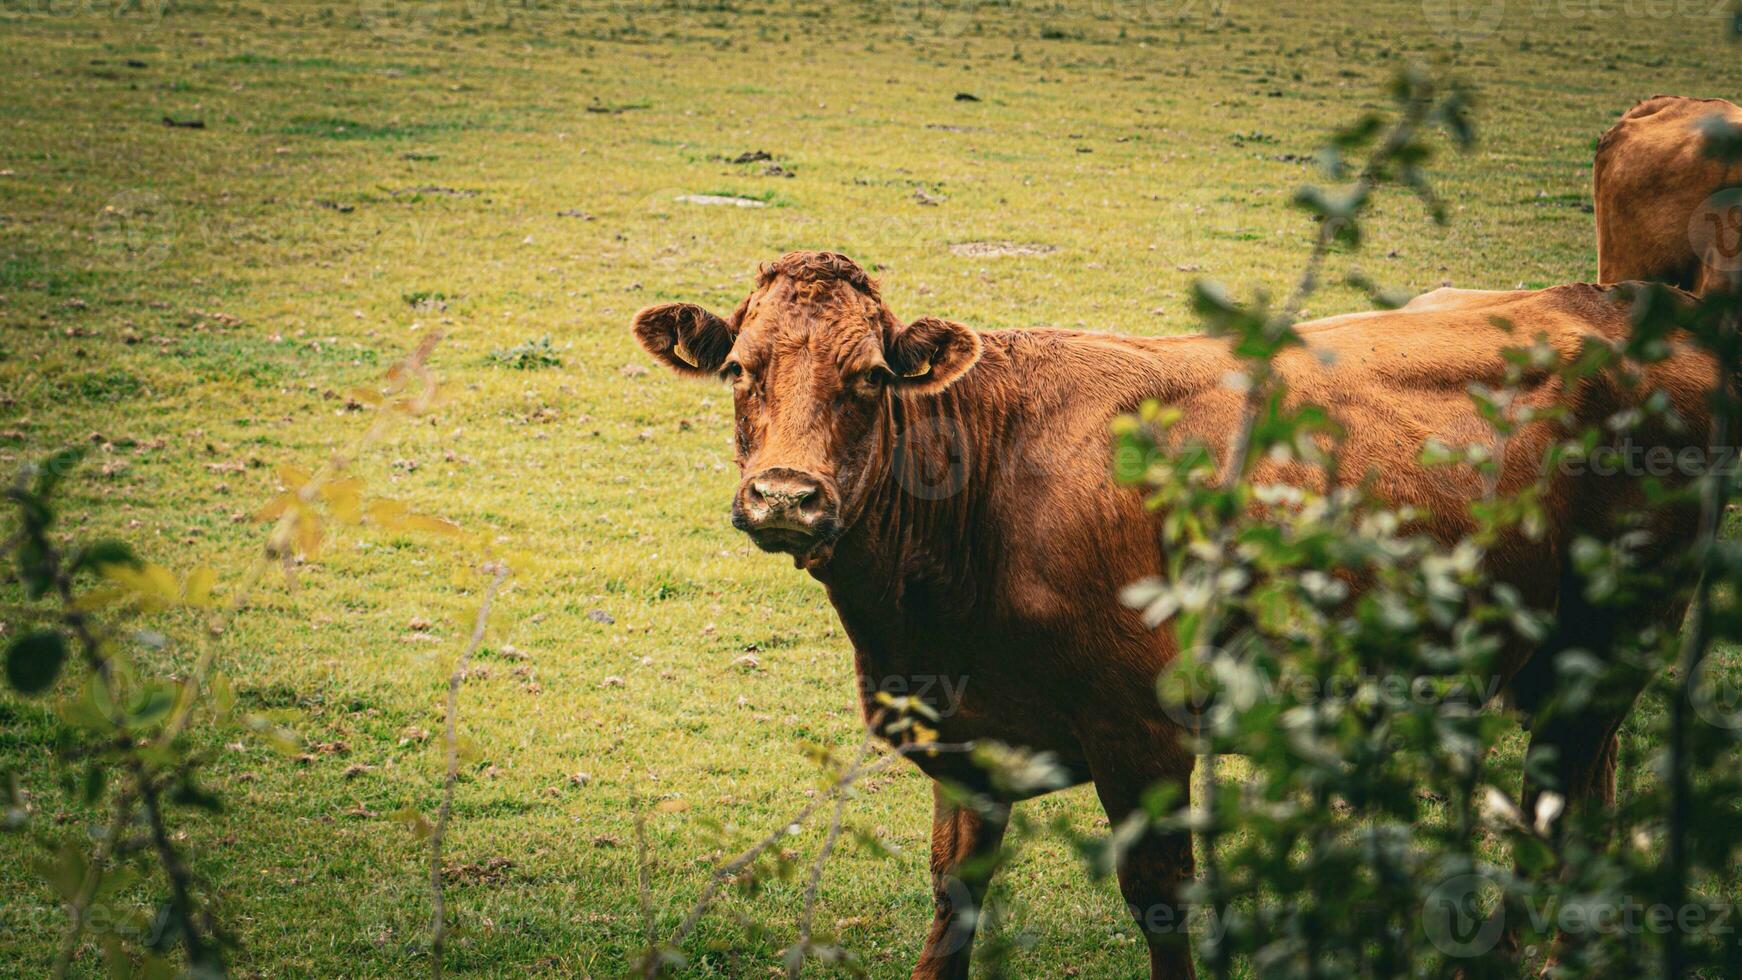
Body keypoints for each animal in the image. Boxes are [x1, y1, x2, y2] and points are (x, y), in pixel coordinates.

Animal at [634, 255, 1707, 980]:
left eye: (868, 378)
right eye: (740, 370)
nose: (785, 496)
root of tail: (1621, 302)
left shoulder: (1142, 734)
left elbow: (1160, 902)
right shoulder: (970, 740)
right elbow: (953, 900)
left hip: (1621, 640)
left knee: (1567, 805)